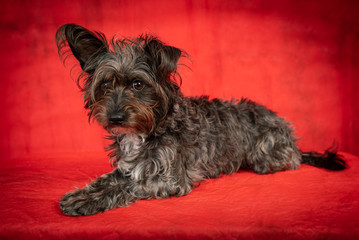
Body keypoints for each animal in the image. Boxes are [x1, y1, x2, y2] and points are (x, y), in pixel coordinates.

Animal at [55, 23, 346, 216]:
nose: (115, 117)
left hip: (265, 156)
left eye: (137, 84)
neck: (147, 129)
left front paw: (87, 202)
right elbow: (107, 179)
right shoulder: (129, 166)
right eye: (105, 85)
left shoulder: (170, 180)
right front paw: (81, 192)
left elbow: (128, 186)